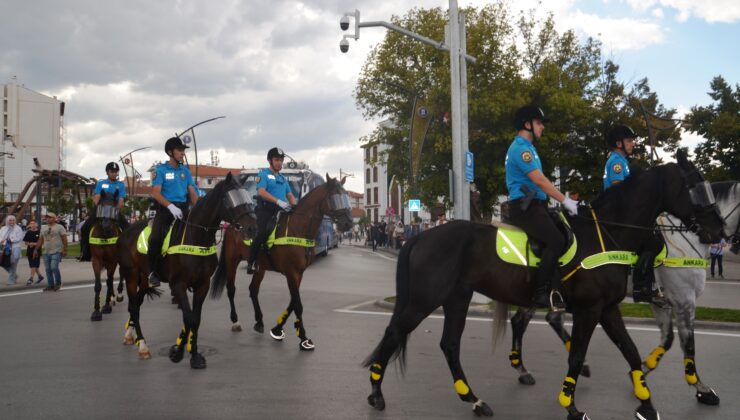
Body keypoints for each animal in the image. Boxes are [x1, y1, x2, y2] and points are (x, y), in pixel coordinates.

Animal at [116, 171, 254, 368]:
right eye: (231, 199)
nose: (253, 227)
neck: (197, 237)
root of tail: (127, 230)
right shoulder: (178, 284)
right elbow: (189, 318)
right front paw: (178, 352)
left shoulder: (202, 285)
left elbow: (195, 319)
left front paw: (192, 353)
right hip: (131, 275)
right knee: (134, 307)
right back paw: (142, 345)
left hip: (143, 279)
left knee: (135, 305)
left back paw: (130, 334)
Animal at [210, 174, 354, 352]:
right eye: (335, 198)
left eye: (345, 197)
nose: (349, 223)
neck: (298, 228)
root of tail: (232, 224)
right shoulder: (291, 273)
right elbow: (297, 304)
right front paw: (303, 338)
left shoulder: (299, 273)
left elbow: (293, 302)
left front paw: (277, 329)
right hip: (232, 261)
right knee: (231, 289)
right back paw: (235, 321)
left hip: (261, 267)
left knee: (253, 290)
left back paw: (259, 321)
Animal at [362, 153, 724, 420]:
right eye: (695, 187)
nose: (718, 230)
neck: (607, 235)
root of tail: (421, 235)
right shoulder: (592, 310)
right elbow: (577, 356)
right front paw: (571, 405)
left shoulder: (608, 309)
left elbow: (631, 351)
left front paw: (646, 401)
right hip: (425, 300)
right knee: (394, 333)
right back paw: (376, 393)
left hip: (457, 299)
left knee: (450, 345)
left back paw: (474, 399)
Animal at [644, 180, 736, 404]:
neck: (690, 237)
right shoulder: (684, 301)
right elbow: (689, 345)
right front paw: (701, 388)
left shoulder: (662, 302)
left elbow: (667, 339)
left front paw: (643, 370)